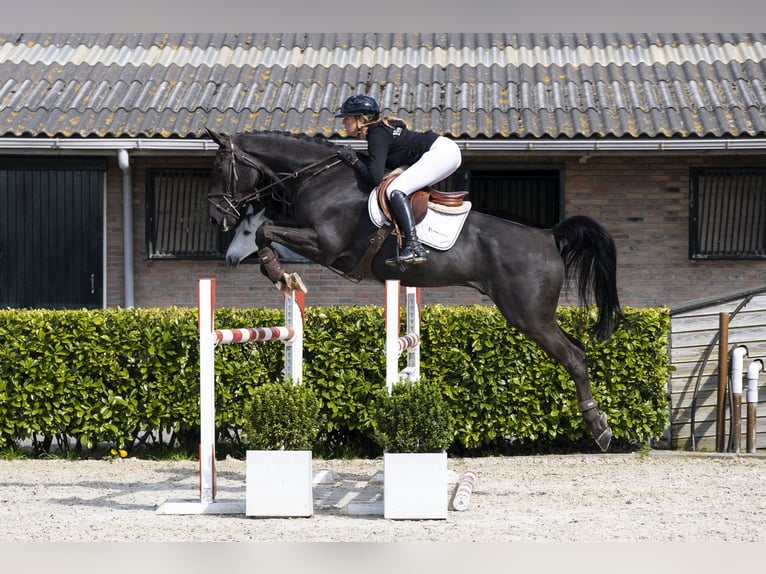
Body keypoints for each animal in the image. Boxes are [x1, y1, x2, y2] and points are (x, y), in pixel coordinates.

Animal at [206, 128, 622, 451]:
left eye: (220, 168)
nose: (215, 218)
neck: (321, 178)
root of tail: (548, 236)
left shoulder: (326, 246)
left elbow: (266, 230)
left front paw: (278, 272)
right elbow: (269, 230)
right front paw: (282, 274)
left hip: (529, 315)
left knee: (573, 356)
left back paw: (599, 428)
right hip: (537, 315)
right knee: (578, 349)